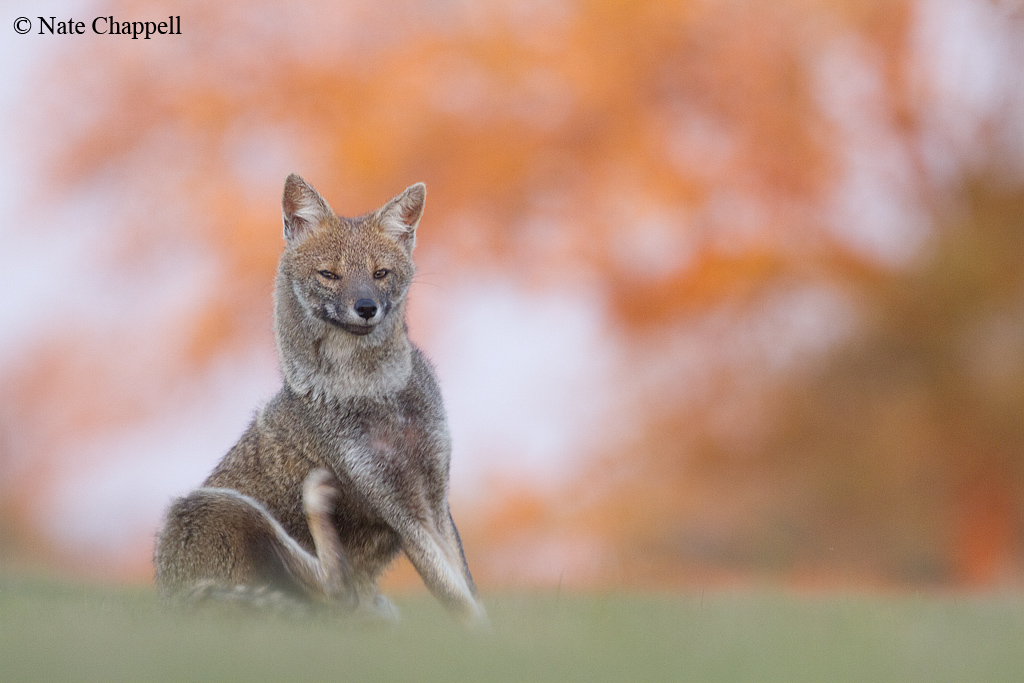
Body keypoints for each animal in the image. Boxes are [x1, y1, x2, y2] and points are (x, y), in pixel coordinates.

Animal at [153, 174, 486, 626]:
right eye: (329, 274)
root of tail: (167, 601)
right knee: (333, 593)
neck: (375, 392)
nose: (366, 307)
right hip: (211, 505)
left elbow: (467, 591)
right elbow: (455, 596)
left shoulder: (434, 495)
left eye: (381, 274)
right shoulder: (395, 505)